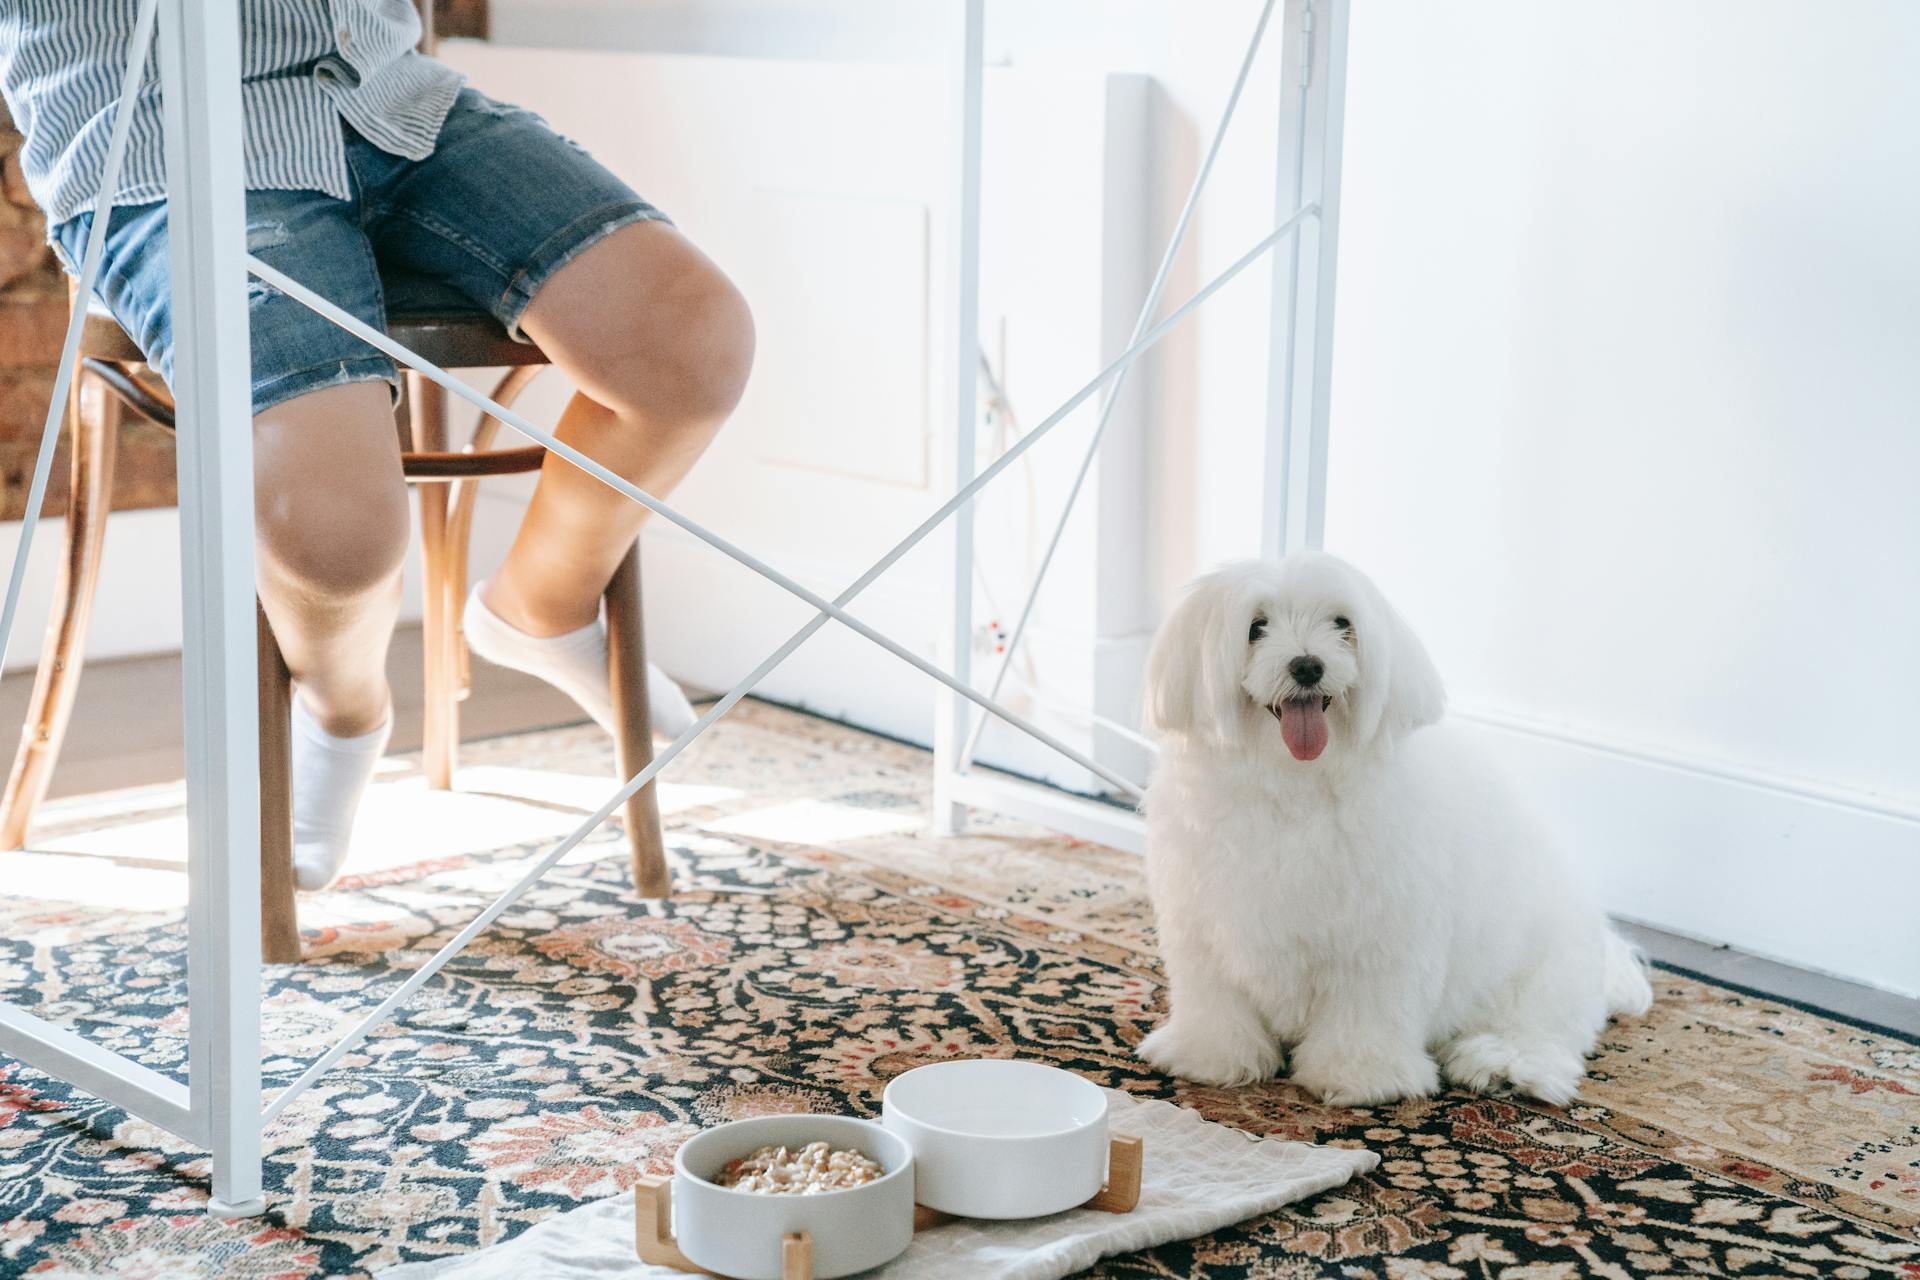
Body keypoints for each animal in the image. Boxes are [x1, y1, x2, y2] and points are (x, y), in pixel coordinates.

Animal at [1136, 556, 1651, 1105]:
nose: (1307, 665)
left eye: (1342, 624)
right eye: (1256, 627)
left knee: (1542, 1028)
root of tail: (1607, 951)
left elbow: (1368, 1012)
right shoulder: (1203, 928)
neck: (1295, 783)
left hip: (1540, 974)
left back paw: (1503, 1064)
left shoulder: (1380, 937)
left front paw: (1359, 1076)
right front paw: (1211, 1057)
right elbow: (1215, 1004)